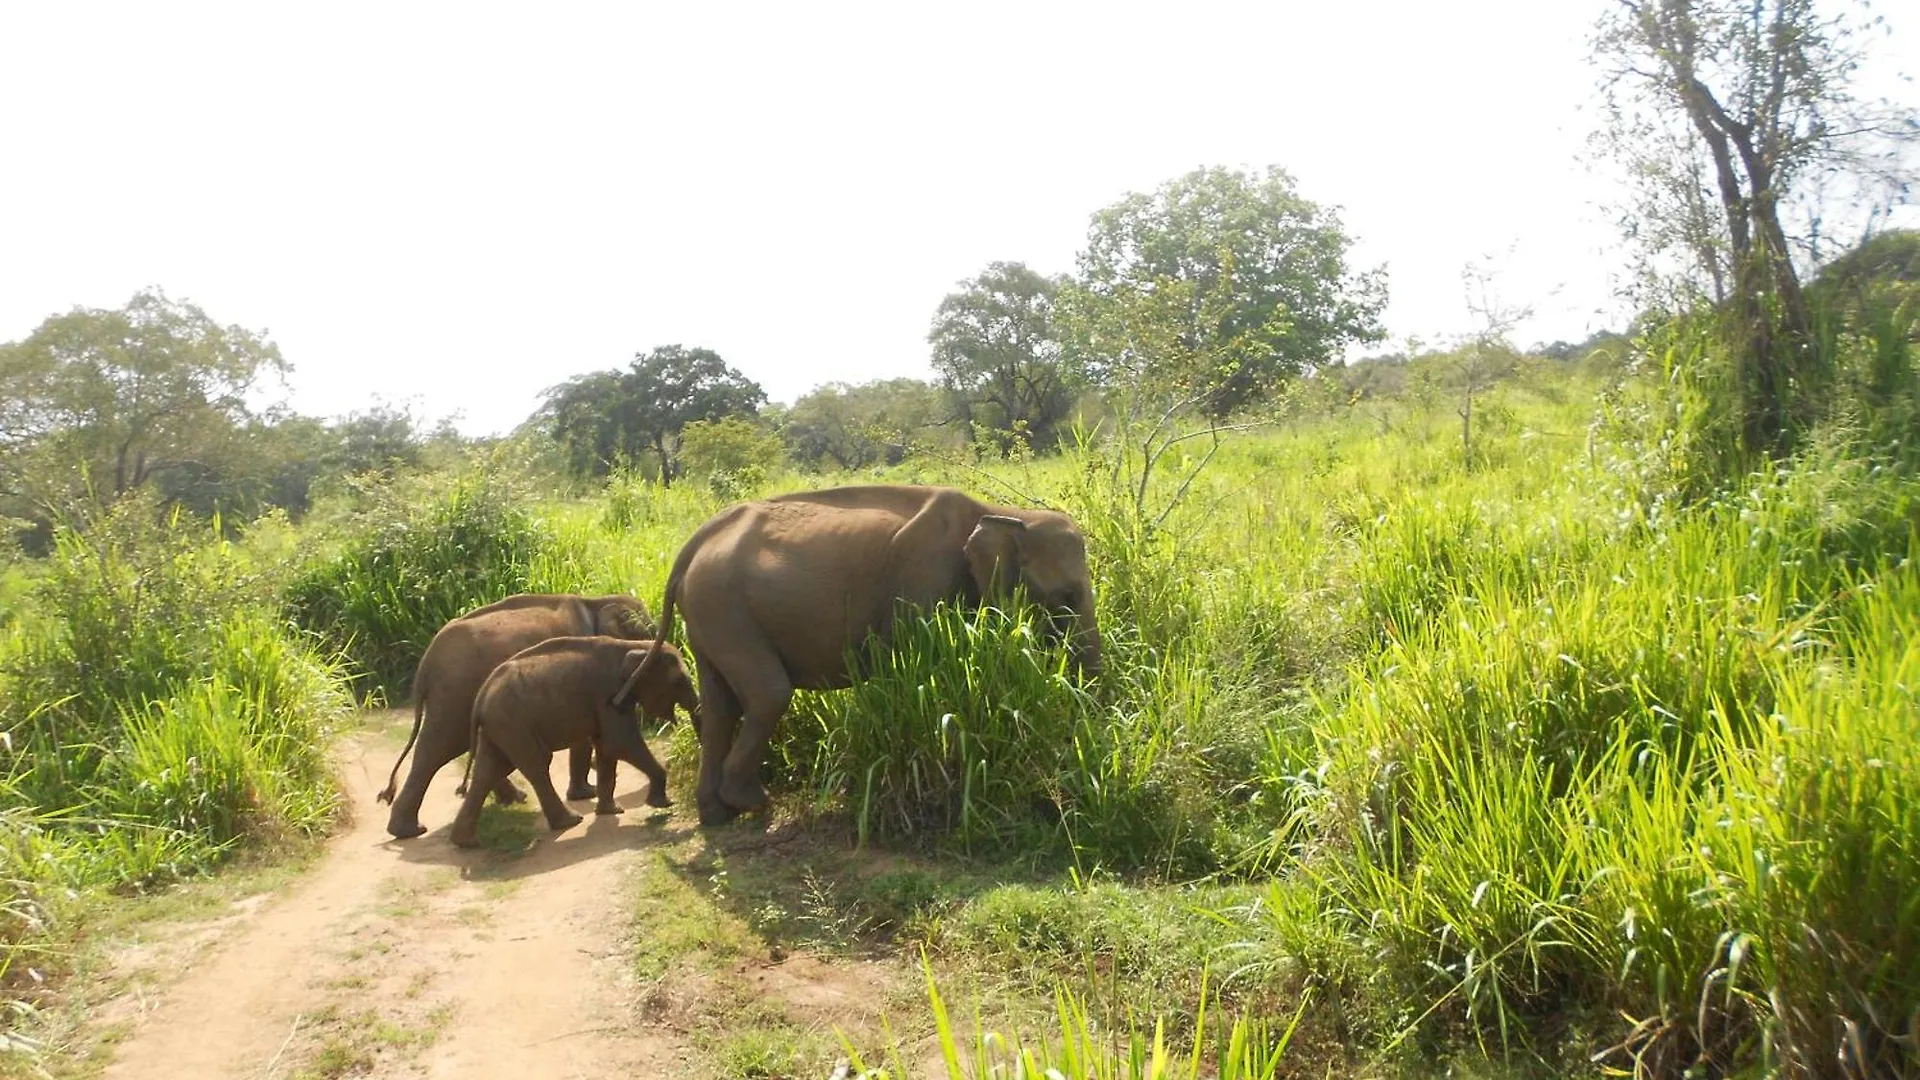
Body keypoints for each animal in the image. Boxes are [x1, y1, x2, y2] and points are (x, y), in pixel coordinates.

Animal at [374, 591, 660, 837]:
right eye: (648, 632)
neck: (596, 601)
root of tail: (425, 665)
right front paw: (584, 794)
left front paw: (584, 792)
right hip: (454, 694)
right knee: (438, 749)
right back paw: (410, 830)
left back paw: (511, 799)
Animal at [449, 630, 698, 849]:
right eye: (678, 681)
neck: (635, 646)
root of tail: (480, 699)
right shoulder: (607, 696)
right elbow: (619, 743)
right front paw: (663, 804)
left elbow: (607, 748)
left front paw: (612, 811)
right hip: (512, 723)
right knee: (535, 765)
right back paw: (570, 822)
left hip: (499, 727)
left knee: (490, 770)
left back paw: (465, 842)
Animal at [622, 486, 1105, 822]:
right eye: (1066, 597)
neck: (1005, 512)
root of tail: (693, 545)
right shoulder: (923, 583)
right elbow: (916, 668)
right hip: (724, 608)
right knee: (767, 695)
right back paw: (752, 802)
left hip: (709, 615)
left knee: (721, 706)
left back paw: (717, 816)